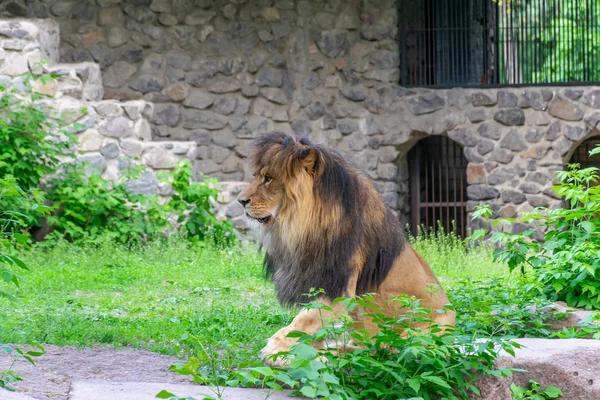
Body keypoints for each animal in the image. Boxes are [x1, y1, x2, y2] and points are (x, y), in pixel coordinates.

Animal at [238, 132, 454, 366]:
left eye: (268, 178)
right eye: (256, 176)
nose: (240, 201)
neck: (303, 225)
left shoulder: (339, 286)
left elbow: (306, 318)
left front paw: (276, 349)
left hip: (413, 339)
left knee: (379, 351)